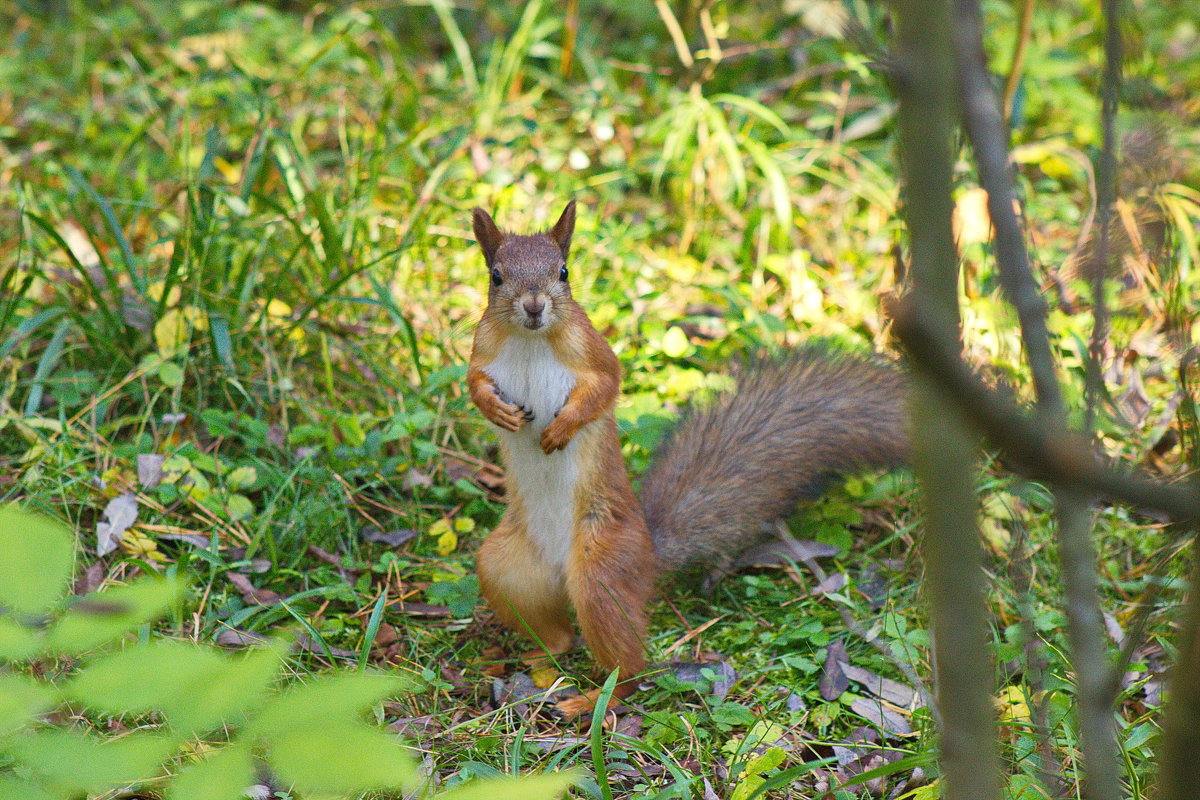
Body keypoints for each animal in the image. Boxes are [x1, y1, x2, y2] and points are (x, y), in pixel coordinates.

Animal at [463, 200, 902, 714]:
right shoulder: (480, 353)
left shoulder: (594, 351)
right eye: (496, 276)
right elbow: (474, 385)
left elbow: (606, 385)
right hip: (505, 569)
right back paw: (529, 655)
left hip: (601, 571)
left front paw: (561, 429)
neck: (530, 340)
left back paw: (591, 700)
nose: (534, 305)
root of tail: (649, 555)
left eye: (564, 272)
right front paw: (496, 410)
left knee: (630, 669)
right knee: (559, 637)